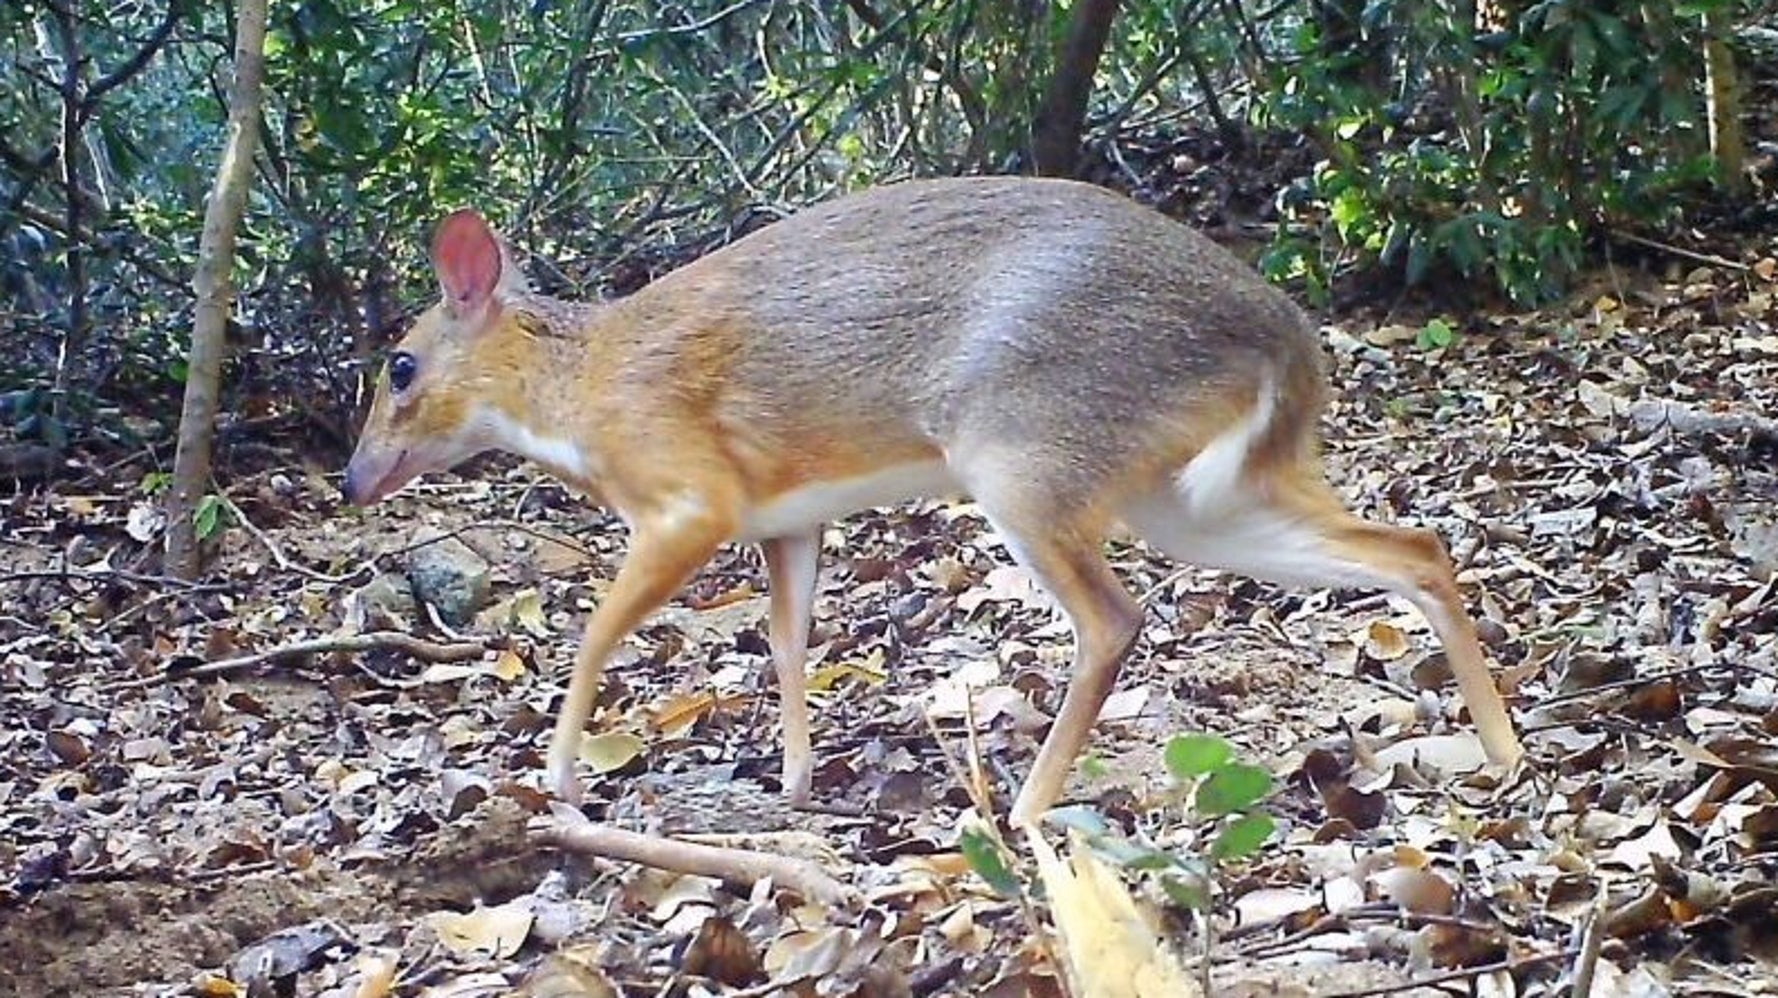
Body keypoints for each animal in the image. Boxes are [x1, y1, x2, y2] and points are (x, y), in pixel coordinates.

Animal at [343, 177, 1523, 827]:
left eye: (398, 366)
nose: (353, 479)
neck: (580, 390)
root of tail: (1282, 332)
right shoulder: (785, 517)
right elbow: (787, 641)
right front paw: (793, 778)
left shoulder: (687, 494)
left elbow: (594, 628)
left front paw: (557, 772)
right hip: (1190, 495)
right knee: (1413, 545)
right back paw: (1505, 754)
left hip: (1023, 449)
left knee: (1113, 618)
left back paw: (1026, 809)